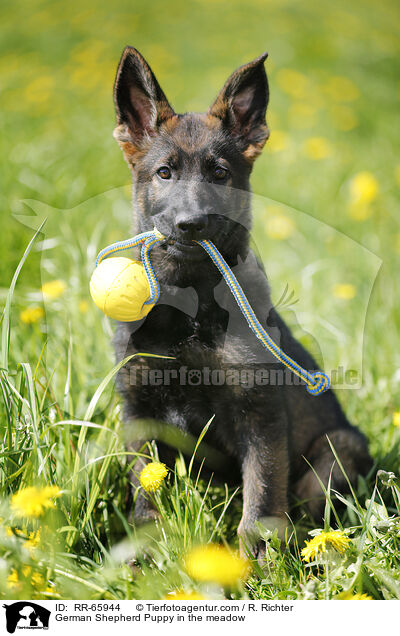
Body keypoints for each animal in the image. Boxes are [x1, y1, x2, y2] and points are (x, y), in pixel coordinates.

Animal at [111, 46, 370, 556]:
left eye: (220, 174)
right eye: (164, 172)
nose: (191, 224)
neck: (190, 307)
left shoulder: (260, 415)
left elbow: (261, 503)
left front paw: (259, 564)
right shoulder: (139, 411)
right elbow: (146, 493)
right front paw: (143, 554)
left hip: (337, 453)